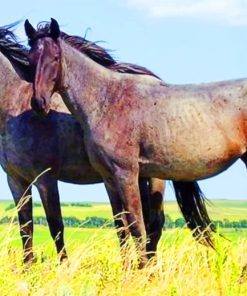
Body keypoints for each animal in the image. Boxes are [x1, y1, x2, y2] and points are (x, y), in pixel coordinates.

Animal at [0, 23, 166, 264]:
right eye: (30, 59)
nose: (39, 104)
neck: (15, 108)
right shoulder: (16, 181)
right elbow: (26, 228)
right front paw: (28, 269)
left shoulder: (46, 179)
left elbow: (56, 226)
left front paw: (63, 267)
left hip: (155, 177)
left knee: (154, 224)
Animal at [24, 18, 223, 268]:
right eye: (30, 59)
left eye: (56, 57)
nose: (39, 103)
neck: (102, 101)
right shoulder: (109, 177)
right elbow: (121, 226)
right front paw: (127, 268)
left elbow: (135, 225)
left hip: (156, 177)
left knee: (155, 223)